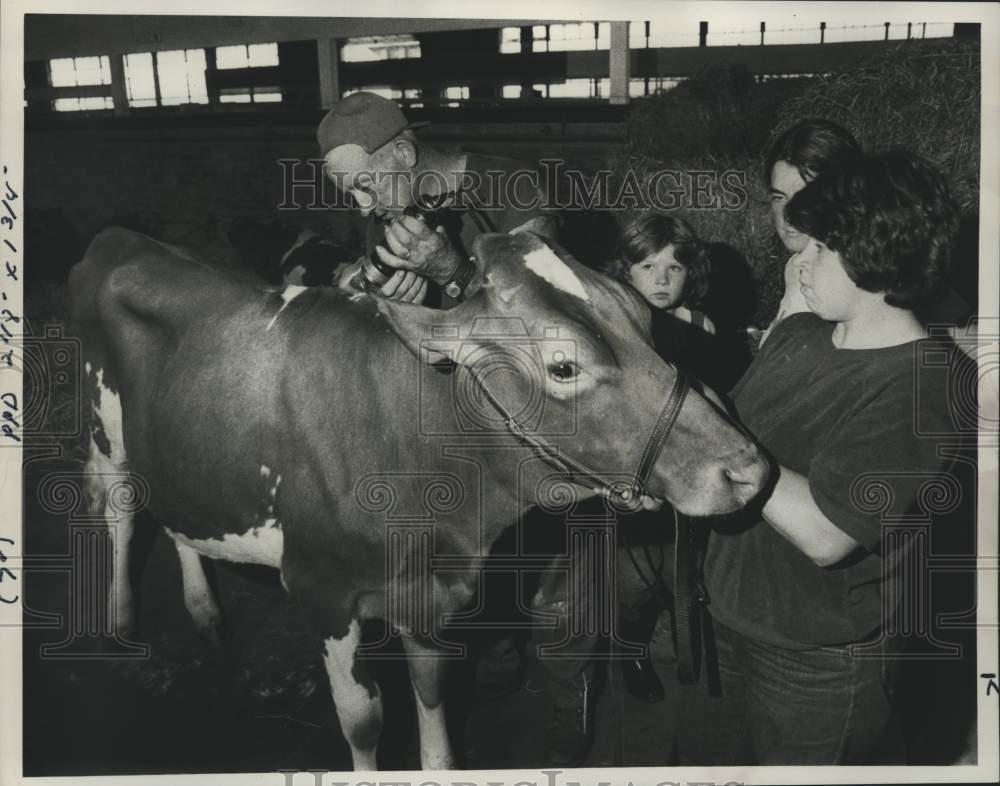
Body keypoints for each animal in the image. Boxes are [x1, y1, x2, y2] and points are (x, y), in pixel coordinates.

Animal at [68, 225, 764, 764]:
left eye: (647, 321)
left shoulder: (432, 589)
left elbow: (432, 693)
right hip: (108, 429)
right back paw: (120, 621)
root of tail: (121, 237)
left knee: (176, 511)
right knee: (122, 510)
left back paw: (205, 611)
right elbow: (364, 723)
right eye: (563, 367)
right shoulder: (321, 589)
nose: (747, 470)